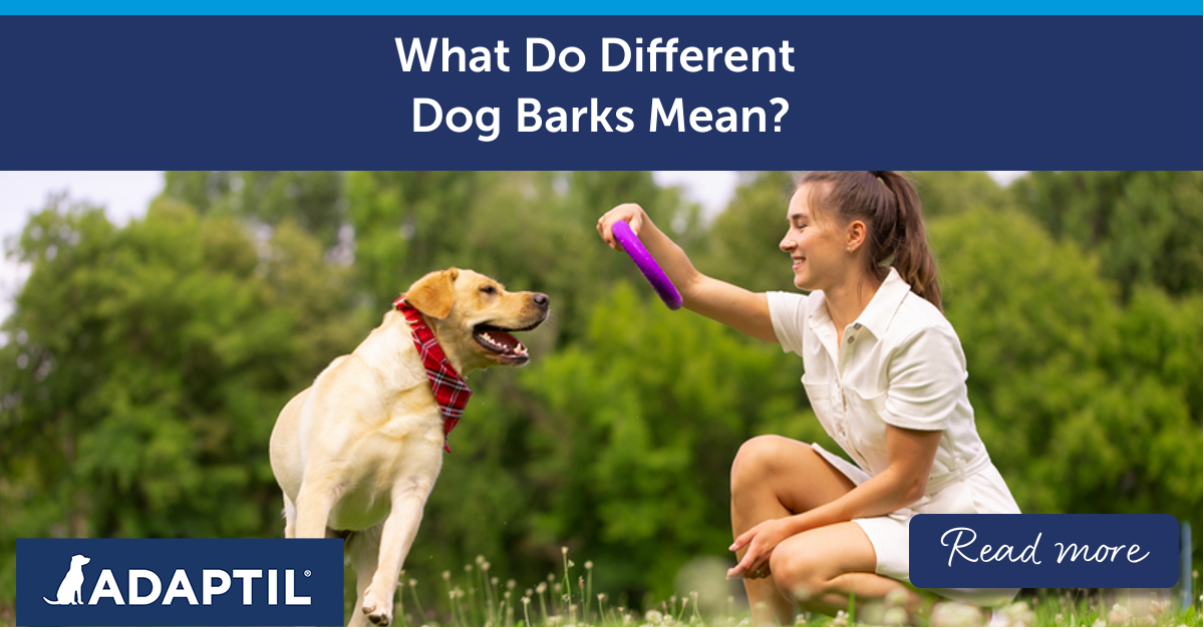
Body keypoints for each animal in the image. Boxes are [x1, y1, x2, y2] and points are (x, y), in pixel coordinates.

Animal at [270, 268, 549, 626]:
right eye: (487, 290)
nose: (544, 298)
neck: (415, 381)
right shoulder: (320, 489)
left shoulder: (411, 492)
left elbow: (393, 556)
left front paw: (381, 603)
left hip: (368, 543)